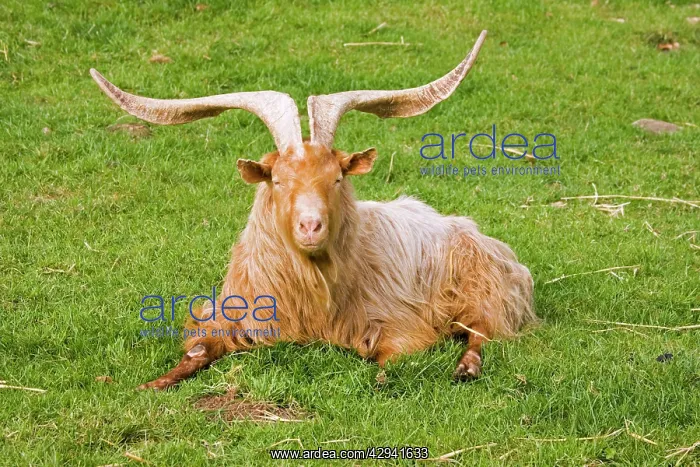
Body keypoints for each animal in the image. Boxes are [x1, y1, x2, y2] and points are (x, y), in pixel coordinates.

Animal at [91, 30, 536, 390]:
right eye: (277, 179)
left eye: (337, 178)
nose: (310, 226)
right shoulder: (232, 312)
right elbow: (197, 350)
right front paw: (150, 385)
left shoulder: (403, 323)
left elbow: (390, 356)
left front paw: (382, 377)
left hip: (485, 289)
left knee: (481, 331)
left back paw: (466, 368)